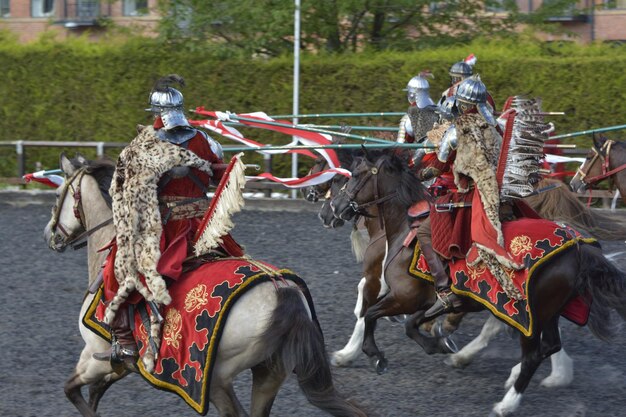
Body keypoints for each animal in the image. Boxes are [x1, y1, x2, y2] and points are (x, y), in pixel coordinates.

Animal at [42, 154, 366, 416]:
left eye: (58, 193)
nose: (50, 235)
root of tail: (282, 292)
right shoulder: (118, 366)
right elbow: (95, 392)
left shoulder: (94, 357)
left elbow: (71, 390)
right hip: (269, 371)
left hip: (217, 379)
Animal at [330, 150, 624, 416]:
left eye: (355, 175)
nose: (336, 208)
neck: (404, 228)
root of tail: (577, 247)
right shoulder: (425, 302)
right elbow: (404, 323)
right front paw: (437, 344)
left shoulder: (404, 296)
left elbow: (371, 314)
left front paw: (373, 354)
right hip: (547, 310)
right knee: (549, 345)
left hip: (528, 314)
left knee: (531, 354)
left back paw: (507, 403)